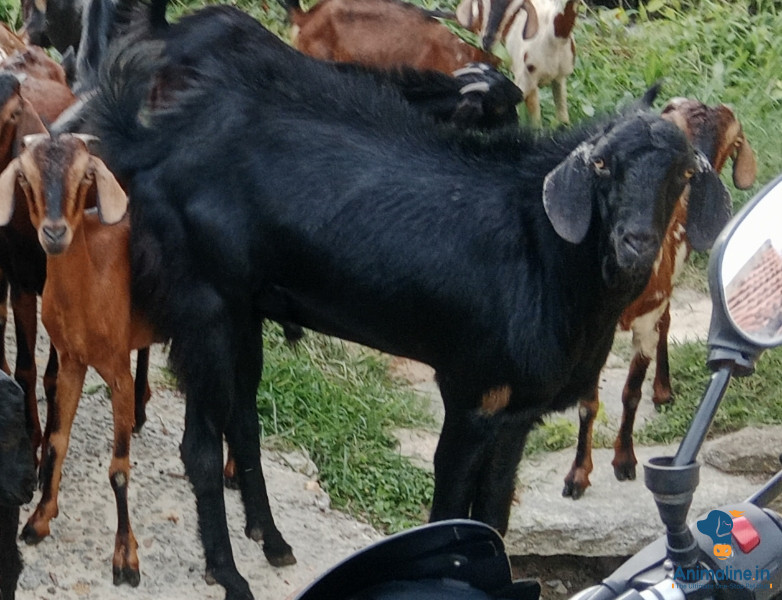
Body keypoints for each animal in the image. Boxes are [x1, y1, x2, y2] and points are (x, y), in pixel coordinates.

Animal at [0, 132, 159, 586]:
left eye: (84, 176)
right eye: (25, 179)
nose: (54, 233)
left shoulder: (117, 372)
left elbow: (119, 468)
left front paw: (126, 559)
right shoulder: (72, 361)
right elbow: (56, 441)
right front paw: (38, 519)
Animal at [562, 98, 757, 498]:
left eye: (730, 145)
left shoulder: (647, 322)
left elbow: (630, 393)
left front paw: (624, 460)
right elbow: (588, 403)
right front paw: (577, 476)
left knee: (666, 322)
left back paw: (663, 389)